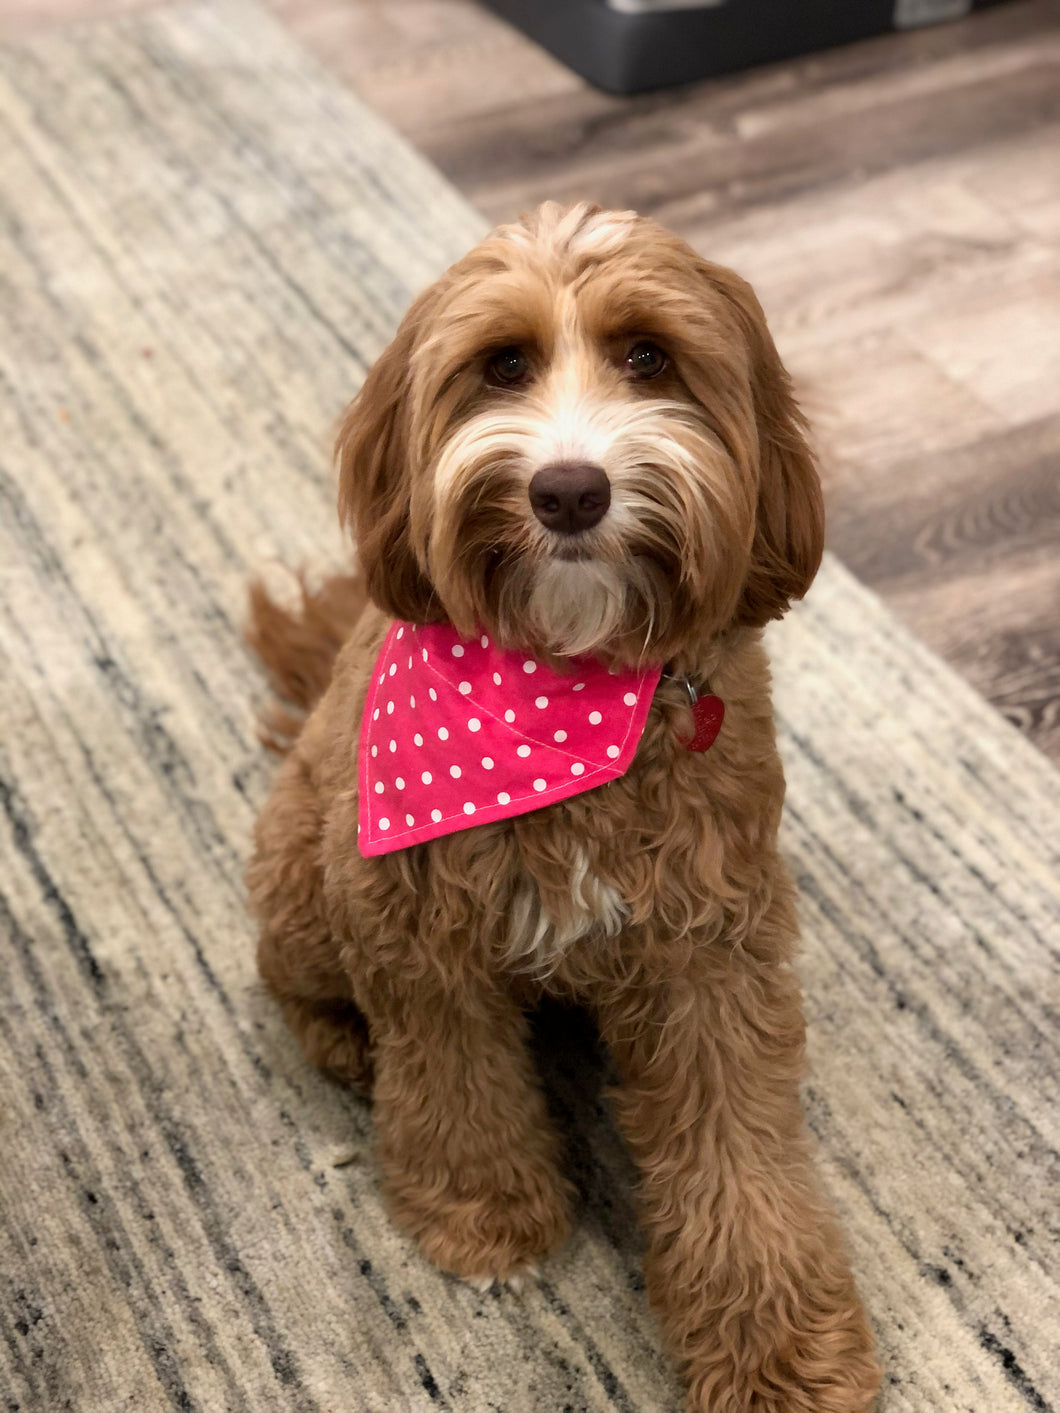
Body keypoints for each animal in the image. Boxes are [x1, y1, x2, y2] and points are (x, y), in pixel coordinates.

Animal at [247, 202, 881, 1413]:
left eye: (648, 357)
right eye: (503, 365)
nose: (570, 491)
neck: (564, 698)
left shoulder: (710, 951)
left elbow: (739, 1155)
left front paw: (780, 1350)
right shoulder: (416, 934)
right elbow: (455, 1087)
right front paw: (483, 1216)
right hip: (305, 875)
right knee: (295, 984)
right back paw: (343, 1040)